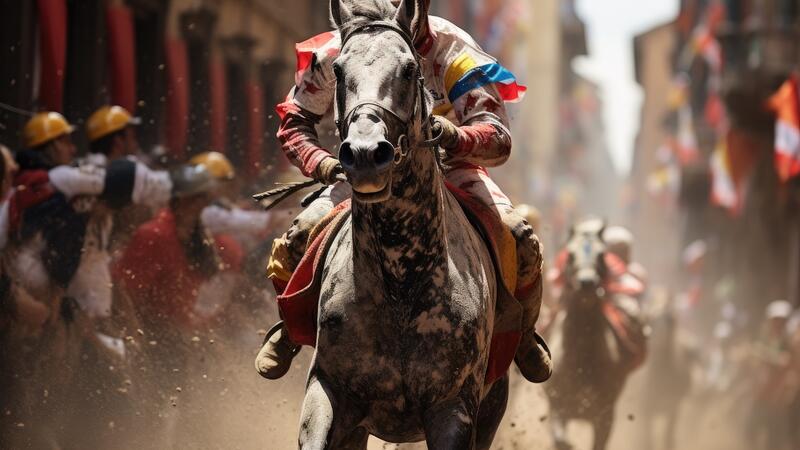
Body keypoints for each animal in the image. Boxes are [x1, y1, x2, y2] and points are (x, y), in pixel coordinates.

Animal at [544, 220, 632, 450]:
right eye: (570, 255)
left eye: (602, 255)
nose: (586, 283)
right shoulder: (557, 405)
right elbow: (560, 438)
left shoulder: (605, 416)